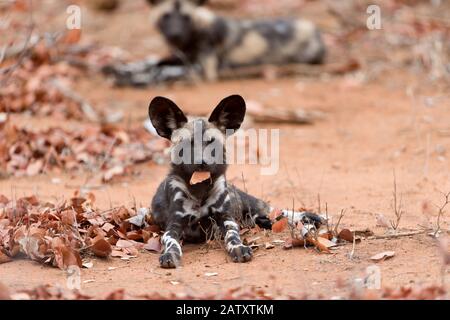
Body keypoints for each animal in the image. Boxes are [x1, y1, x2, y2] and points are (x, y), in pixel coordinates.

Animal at [148, 0, 326, 81]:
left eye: (186, 17)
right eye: (166, 16)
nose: (175, 34)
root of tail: (315, 29)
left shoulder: (205, 71)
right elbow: (160, 63)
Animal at [149, 94, 324, 268]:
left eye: (212, 143)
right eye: (186, 144)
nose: (201, 161)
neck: (200, 189)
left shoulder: (226, 218)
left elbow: (232, 235)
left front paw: (238, 248)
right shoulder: (174, 225)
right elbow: (170, 241)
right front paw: (170, 254)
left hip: (255, 205)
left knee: (278, 211)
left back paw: (311, 218)